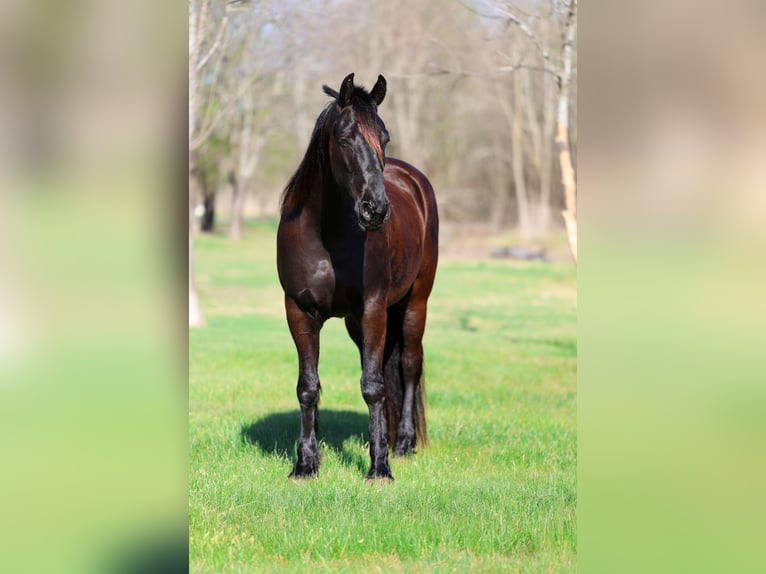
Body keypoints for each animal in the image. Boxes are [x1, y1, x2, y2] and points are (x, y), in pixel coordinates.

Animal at [276, 73, 439, 480]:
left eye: (384, 137)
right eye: (345, 138)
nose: (376, 209)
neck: (325, 235)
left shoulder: (372, 309)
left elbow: (373, 386)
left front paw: (379, 468)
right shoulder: (299, 312)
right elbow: (308, 387)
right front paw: (306, 464)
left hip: (415, 303)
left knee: (409, 365)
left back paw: (403, 444)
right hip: (357, 323)